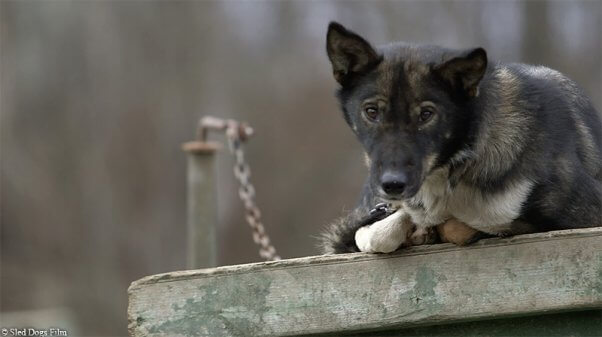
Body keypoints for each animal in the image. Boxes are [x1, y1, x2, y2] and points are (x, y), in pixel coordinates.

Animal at [316, 21, 596, 252]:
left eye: (426, 114)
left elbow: (468, 224)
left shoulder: (585, 219)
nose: (392, 185)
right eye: (371, 111)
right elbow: (376, 234)